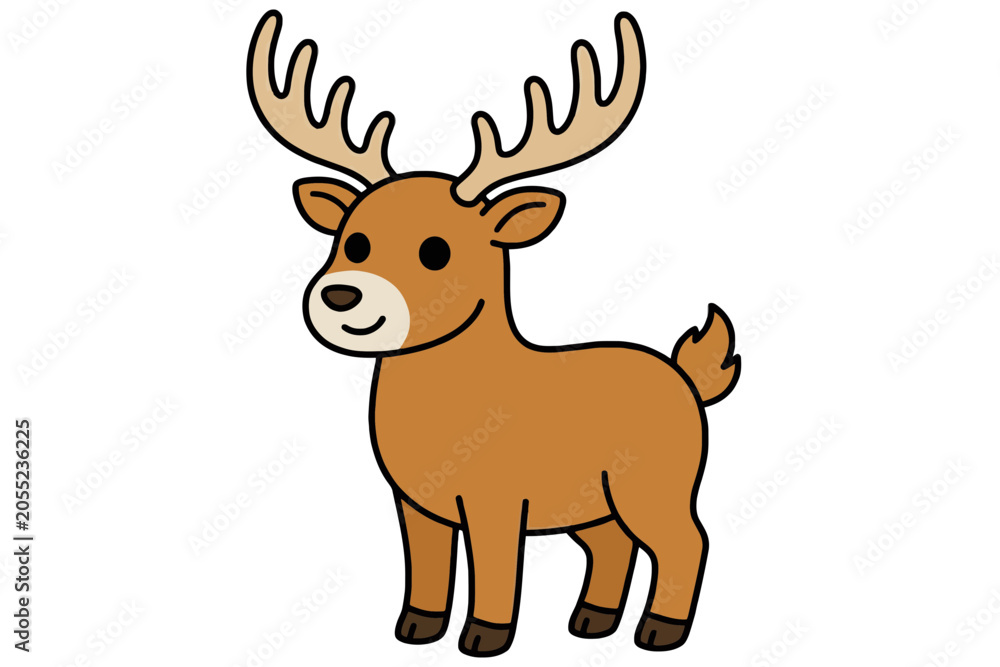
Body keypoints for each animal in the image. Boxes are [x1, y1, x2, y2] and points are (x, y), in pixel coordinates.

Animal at [248, 9, 740, 657]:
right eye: (353, 241)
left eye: (437, 250)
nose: (342, 295)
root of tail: (688, 377)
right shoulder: (416, 505)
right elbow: (428, 568)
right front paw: (416, 629)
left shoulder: (499, 502)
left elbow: (497, 569)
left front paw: (484, 638)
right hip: (594, 503)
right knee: (613, 545)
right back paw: (591, 621)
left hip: (655, 484)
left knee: (687, 540)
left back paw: (660, 631)